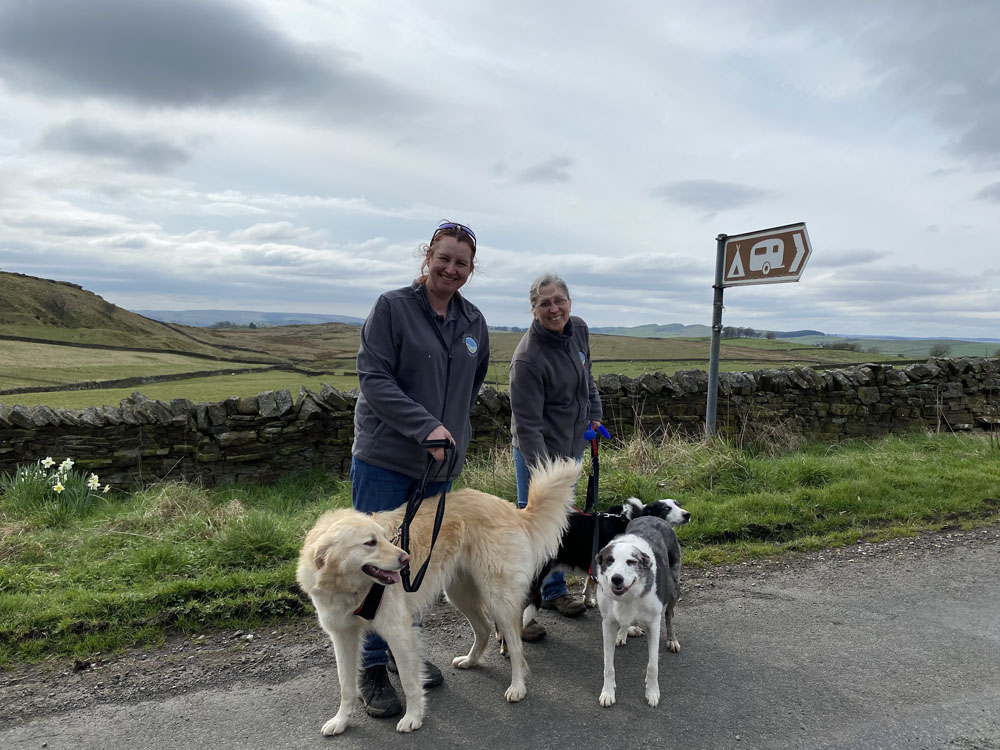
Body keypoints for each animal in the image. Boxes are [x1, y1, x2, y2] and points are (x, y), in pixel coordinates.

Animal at [296, 456, 580, 736]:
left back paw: (517, 687)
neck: (350, 587)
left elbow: (410, 681)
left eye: (385, 538)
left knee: (515, 643)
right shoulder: (342, 636)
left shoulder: (399, 632)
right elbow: (346, 686)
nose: (406, 559)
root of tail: (512, 509)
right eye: (370, 543)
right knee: (484, 629)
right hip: (459, 594)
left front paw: (413, 717)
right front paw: (341, 721)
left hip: (497, 597)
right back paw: (471, 660)